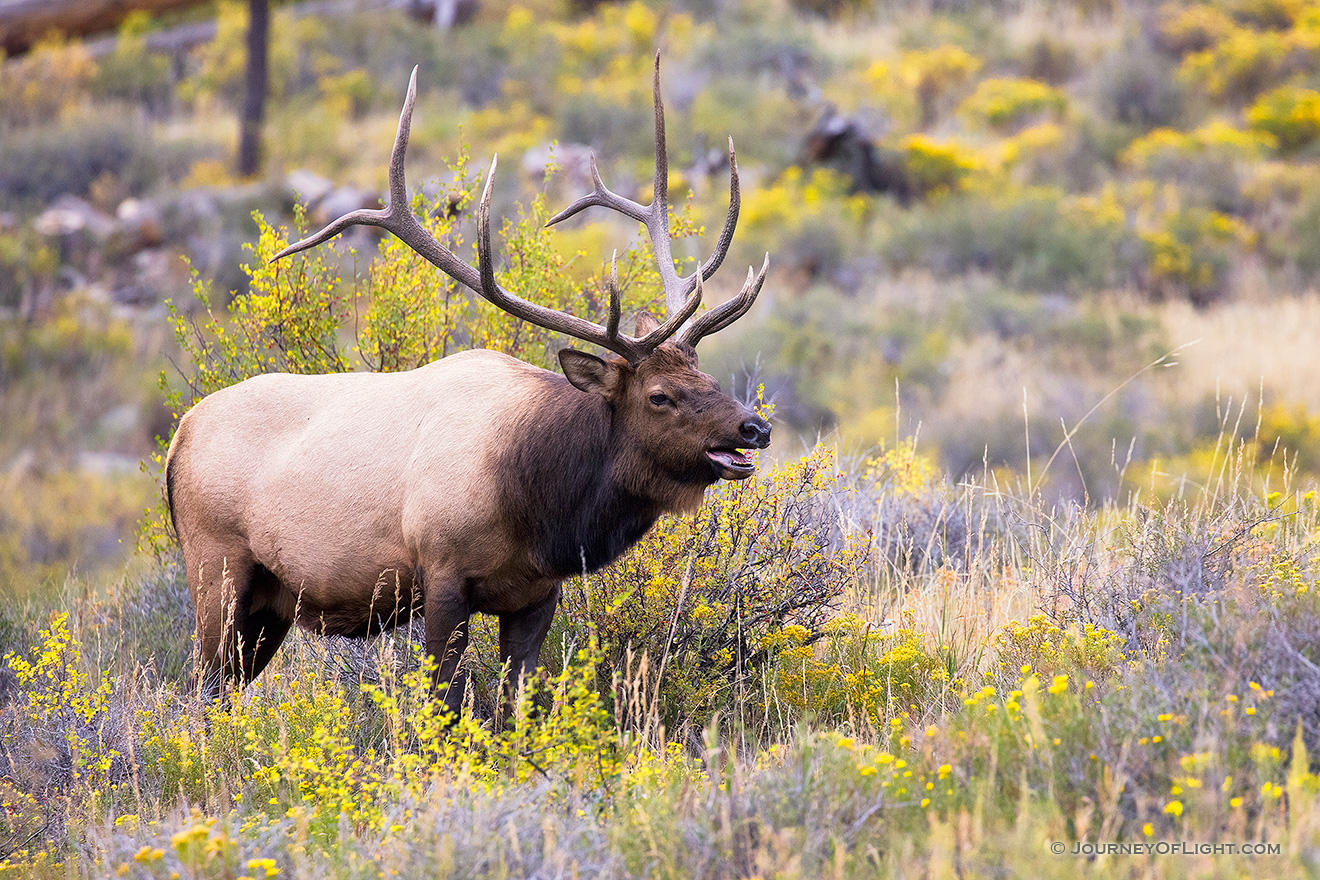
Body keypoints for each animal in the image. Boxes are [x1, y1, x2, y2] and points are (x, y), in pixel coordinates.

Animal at [170, 56, 776, 707]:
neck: (539, 506)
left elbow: (519, 703)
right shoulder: (441, 573)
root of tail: (177, 441)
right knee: (198, 692)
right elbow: (446, 702)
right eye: (660, 397)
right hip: (217, 566)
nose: (755, 428)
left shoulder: (536, 593)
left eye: (706, 375)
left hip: (271, 602)